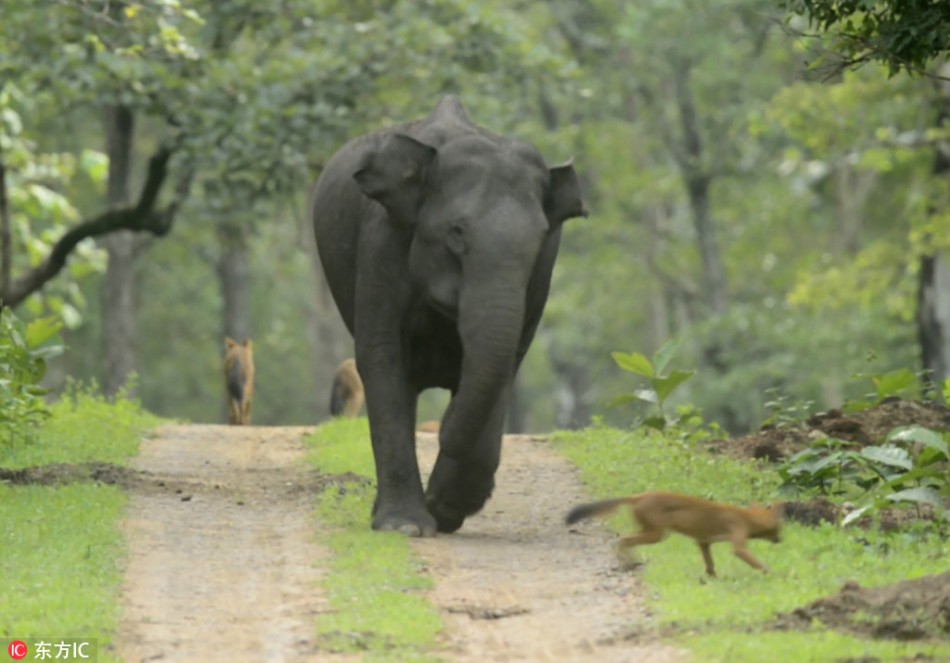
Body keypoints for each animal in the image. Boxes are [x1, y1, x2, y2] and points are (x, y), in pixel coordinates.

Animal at [312, 96, 588, 536]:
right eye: (456, 232)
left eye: (538, 240)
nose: (440, 426)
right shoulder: (383, 241)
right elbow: (382, 355)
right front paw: (406, 527)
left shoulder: (543, 272)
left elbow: (506, 363)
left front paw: (444, 509)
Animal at [568, 490, 784, 580]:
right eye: (778, 529)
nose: (780, 540)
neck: (746, 517)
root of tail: (639, 496)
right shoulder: (737, 539)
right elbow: (755, 561)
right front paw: (774, 574)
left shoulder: (703, 541)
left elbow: (710, 563)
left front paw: (712, 577)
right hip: (658, 534)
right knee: (622, 540)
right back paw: (626, 564)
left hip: (650, 531)